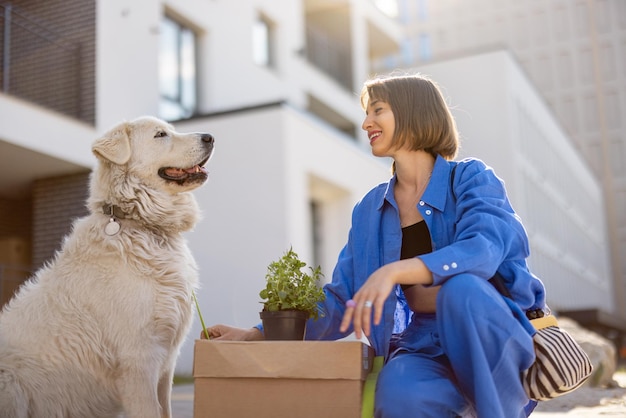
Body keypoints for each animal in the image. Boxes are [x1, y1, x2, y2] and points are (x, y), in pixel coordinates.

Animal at [0, 116, 212, 418]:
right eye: (160, 135)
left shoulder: (166, 363)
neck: (142, 224)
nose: (210, 137)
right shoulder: (139, 362)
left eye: (171, 129)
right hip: (11, 383)